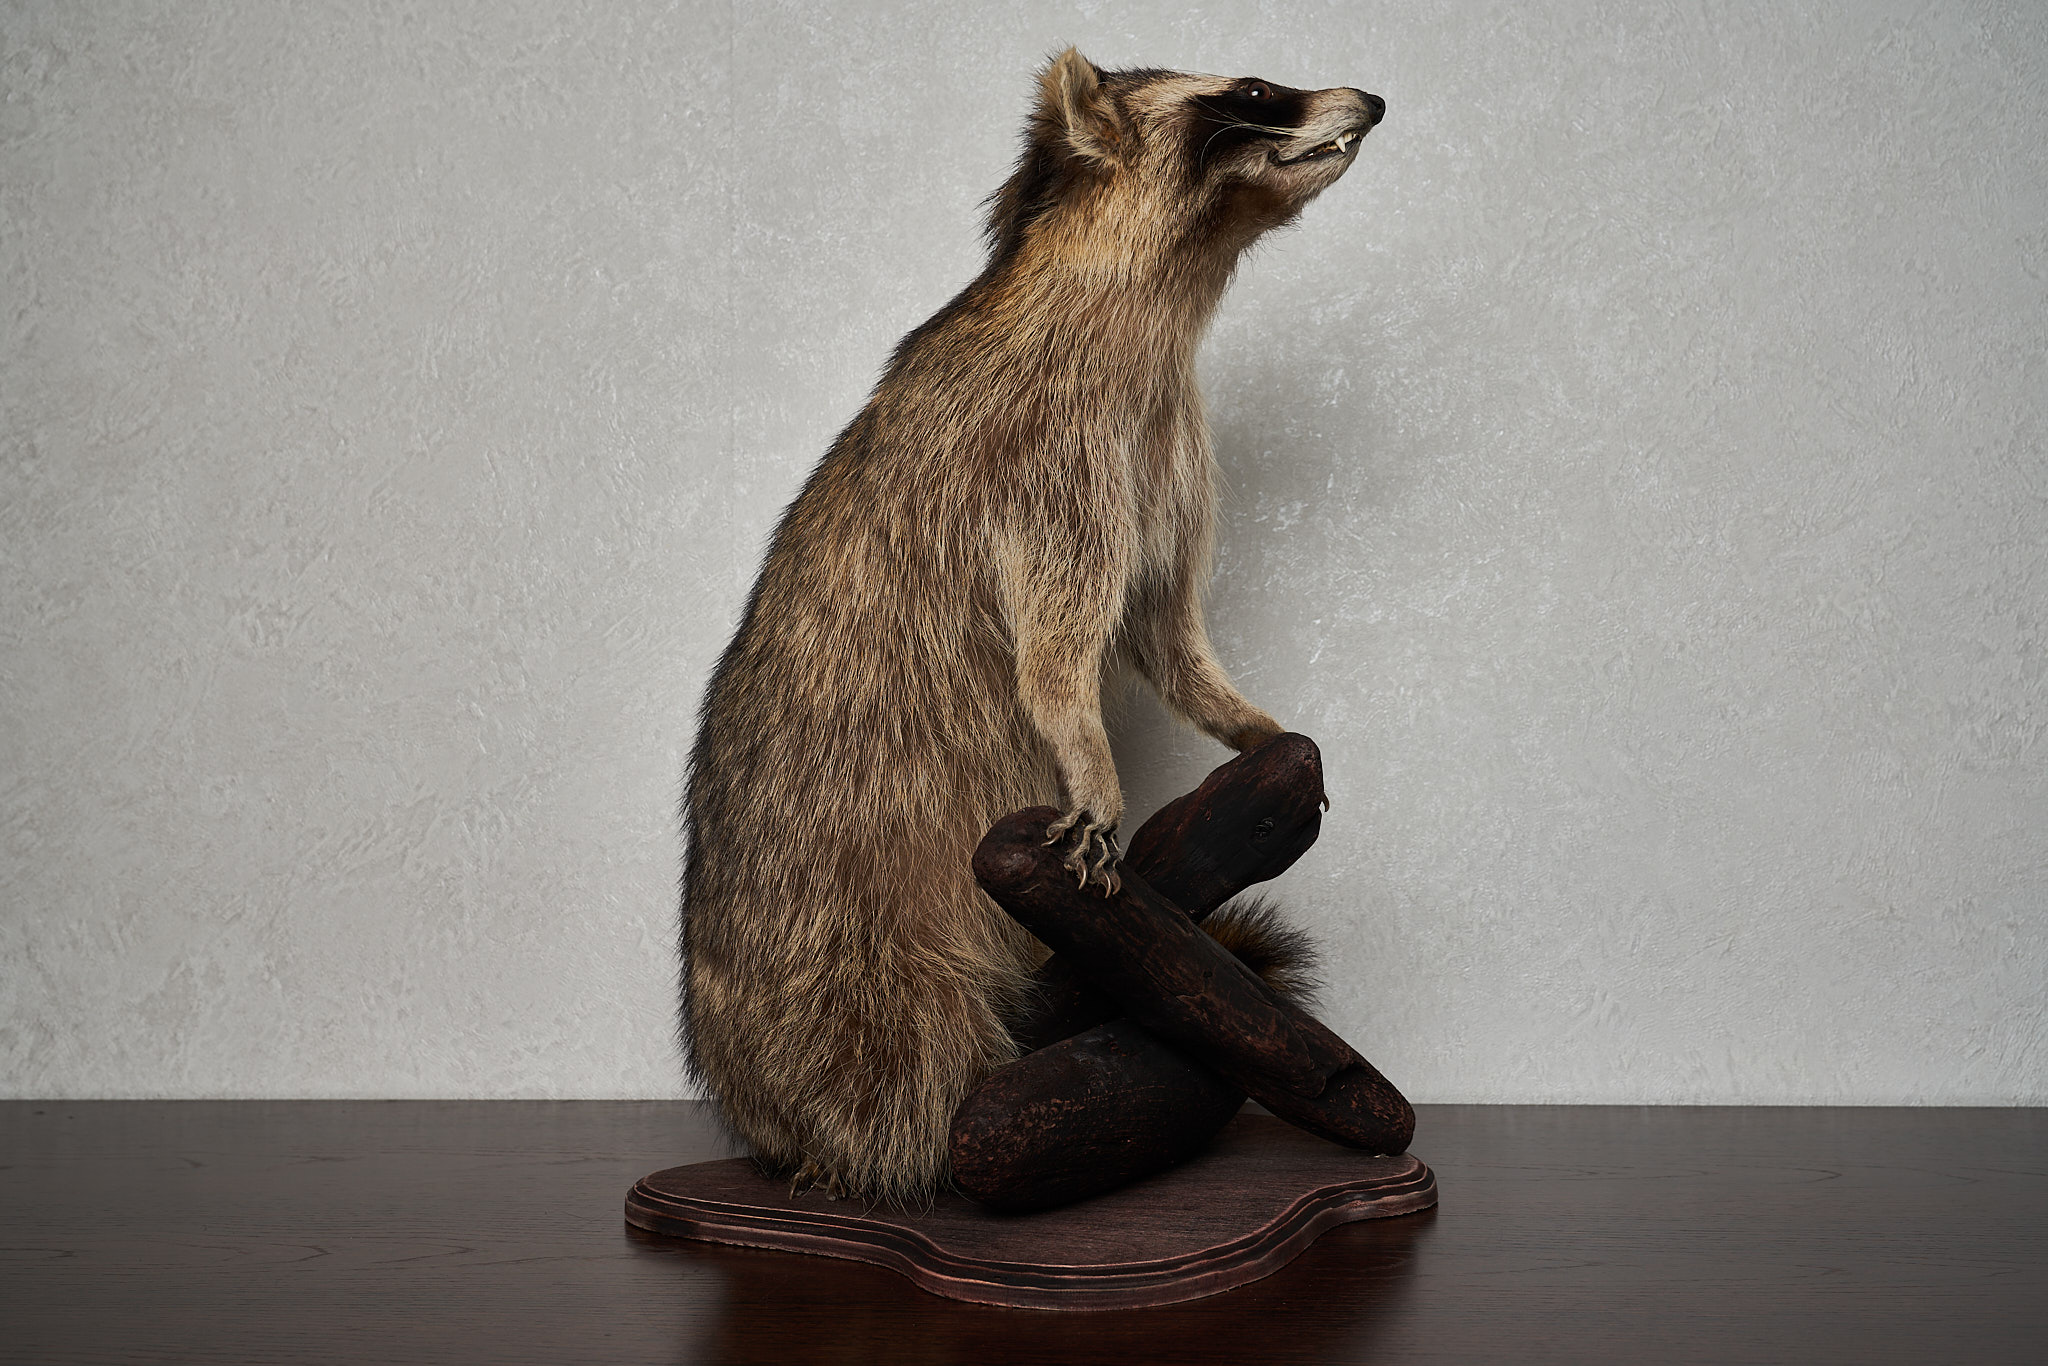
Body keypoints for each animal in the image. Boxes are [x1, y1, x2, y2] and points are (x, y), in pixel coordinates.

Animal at [681, 49, 1382, 1203]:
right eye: (1249, 93)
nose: (1371, 100)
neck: (1159, 290)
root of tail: (756, 1109)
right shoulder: (1047, 453)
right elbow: (1054, 649)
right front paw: (1085, 751)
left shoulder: (1163, 446)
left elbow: (1162, 629)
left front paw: (1239, 714)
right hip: (843, 957)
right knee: (908, 1072)